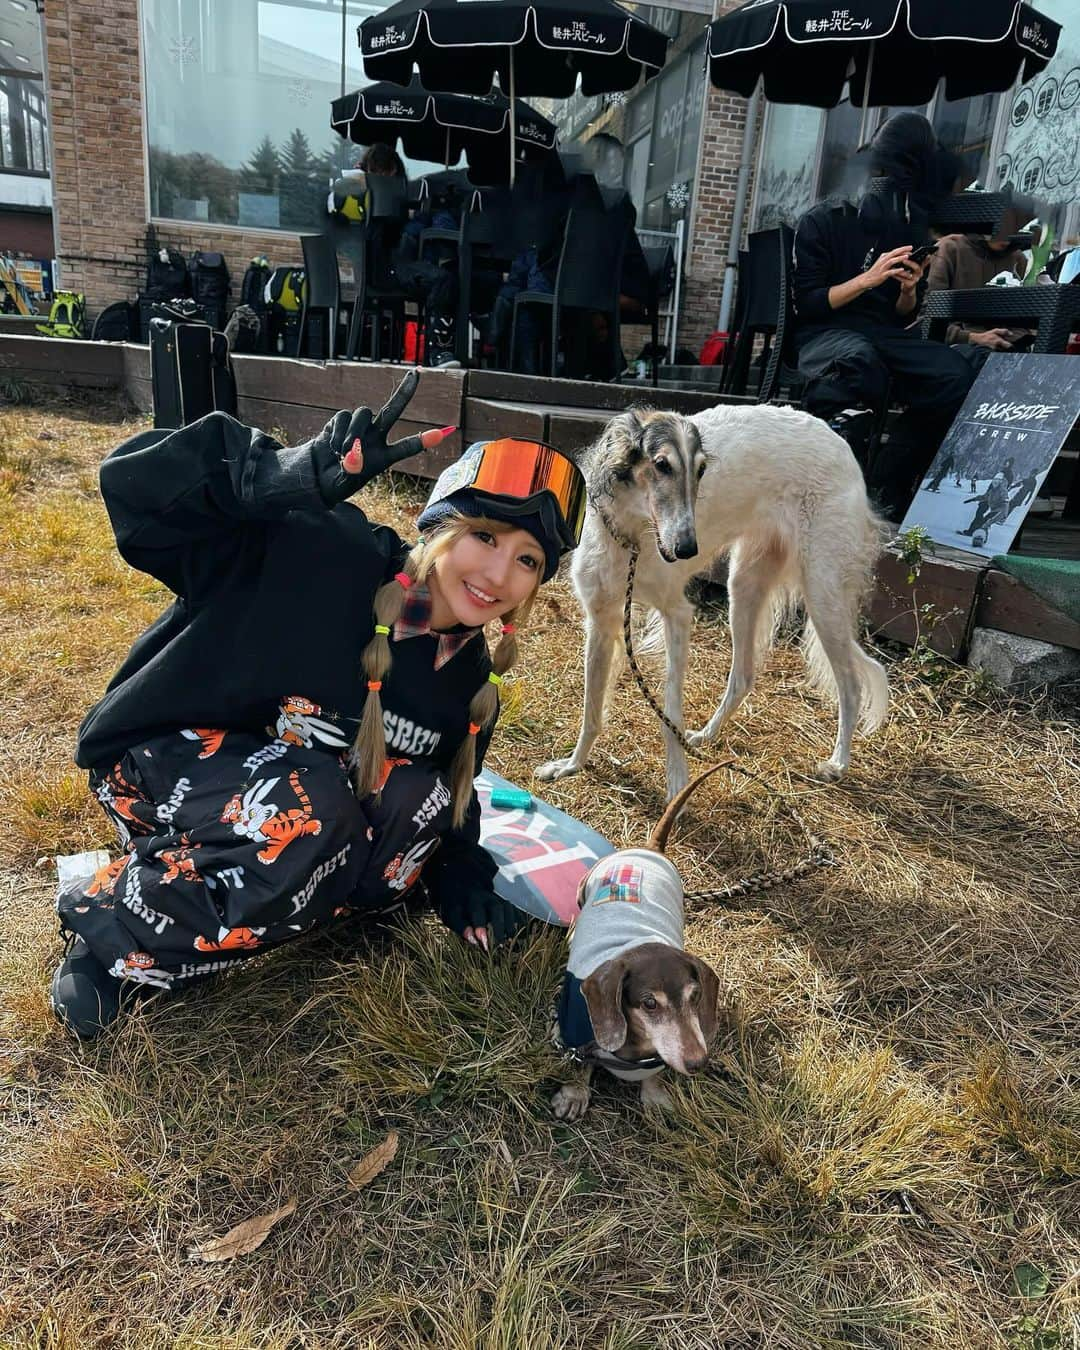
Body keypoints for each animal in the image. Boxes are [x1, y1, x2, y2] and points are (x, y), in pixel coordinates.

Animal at [534, 402, 891, 799]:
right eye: (661, 465)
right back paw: (706, 735)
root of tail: (840, 440)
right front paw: (572, 765)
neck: (632, 538)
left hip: (823, 595)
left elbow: (670, 710)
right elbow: (591, 710)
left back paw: (838, 762)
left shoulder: (677, 614)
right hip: (744, 585)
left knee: (851, 685)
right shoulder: (601, 618)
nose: (687, 549)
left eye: (702, 470)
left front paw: (677, 781)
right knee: (744, 677)